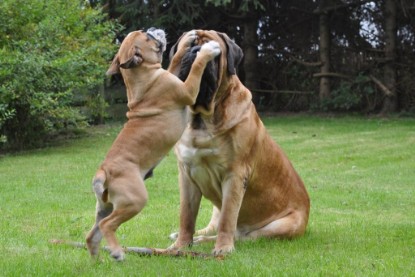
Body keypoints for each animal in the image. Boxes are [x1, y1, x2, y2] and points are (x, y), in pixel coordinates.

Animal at [84, 27, 221, 260]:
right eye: (146, 36)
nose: (151, 29)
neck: (142, 75)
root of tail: (103, 172)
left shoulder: (173, 75)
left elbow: (175, 60)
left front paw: (187, 41)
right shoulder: (188, 89)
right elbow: (196, 67)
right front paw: (207, 51)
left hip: (106, 206)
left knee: (92, 234)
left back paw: (97, 261)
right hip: (134, 201)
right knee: (107, 225)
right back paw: (117, 253)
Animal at [167, 30, 310, 254]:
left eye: (215, 51)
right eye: (188, 45)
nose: (196, 50)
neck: (202, 120)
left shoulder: (234, 175)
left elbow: (228, 218)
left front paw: (223, 249)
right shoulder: (187, 174)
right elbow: (186, 216)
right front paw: (181, 245)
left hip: (281, 225)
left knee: (241, 235)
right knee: (212, 228)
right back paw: (195, 238)